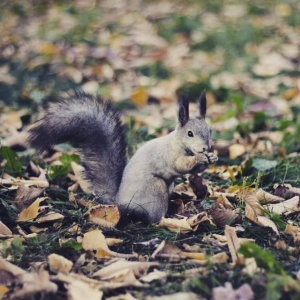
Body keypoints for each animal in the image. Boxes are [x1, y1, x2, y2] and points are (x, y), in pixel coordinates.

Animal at [29, 90, 218, 224]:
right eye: (190, 133)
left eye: (210, 130)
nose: (206, 147)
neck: (178, 143)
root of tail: (119, 201)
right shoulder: (169, 155)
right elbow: (181, 165)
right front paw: (200, 159)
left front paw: (211, 157)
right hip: (155, 188)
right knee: (153, 219)